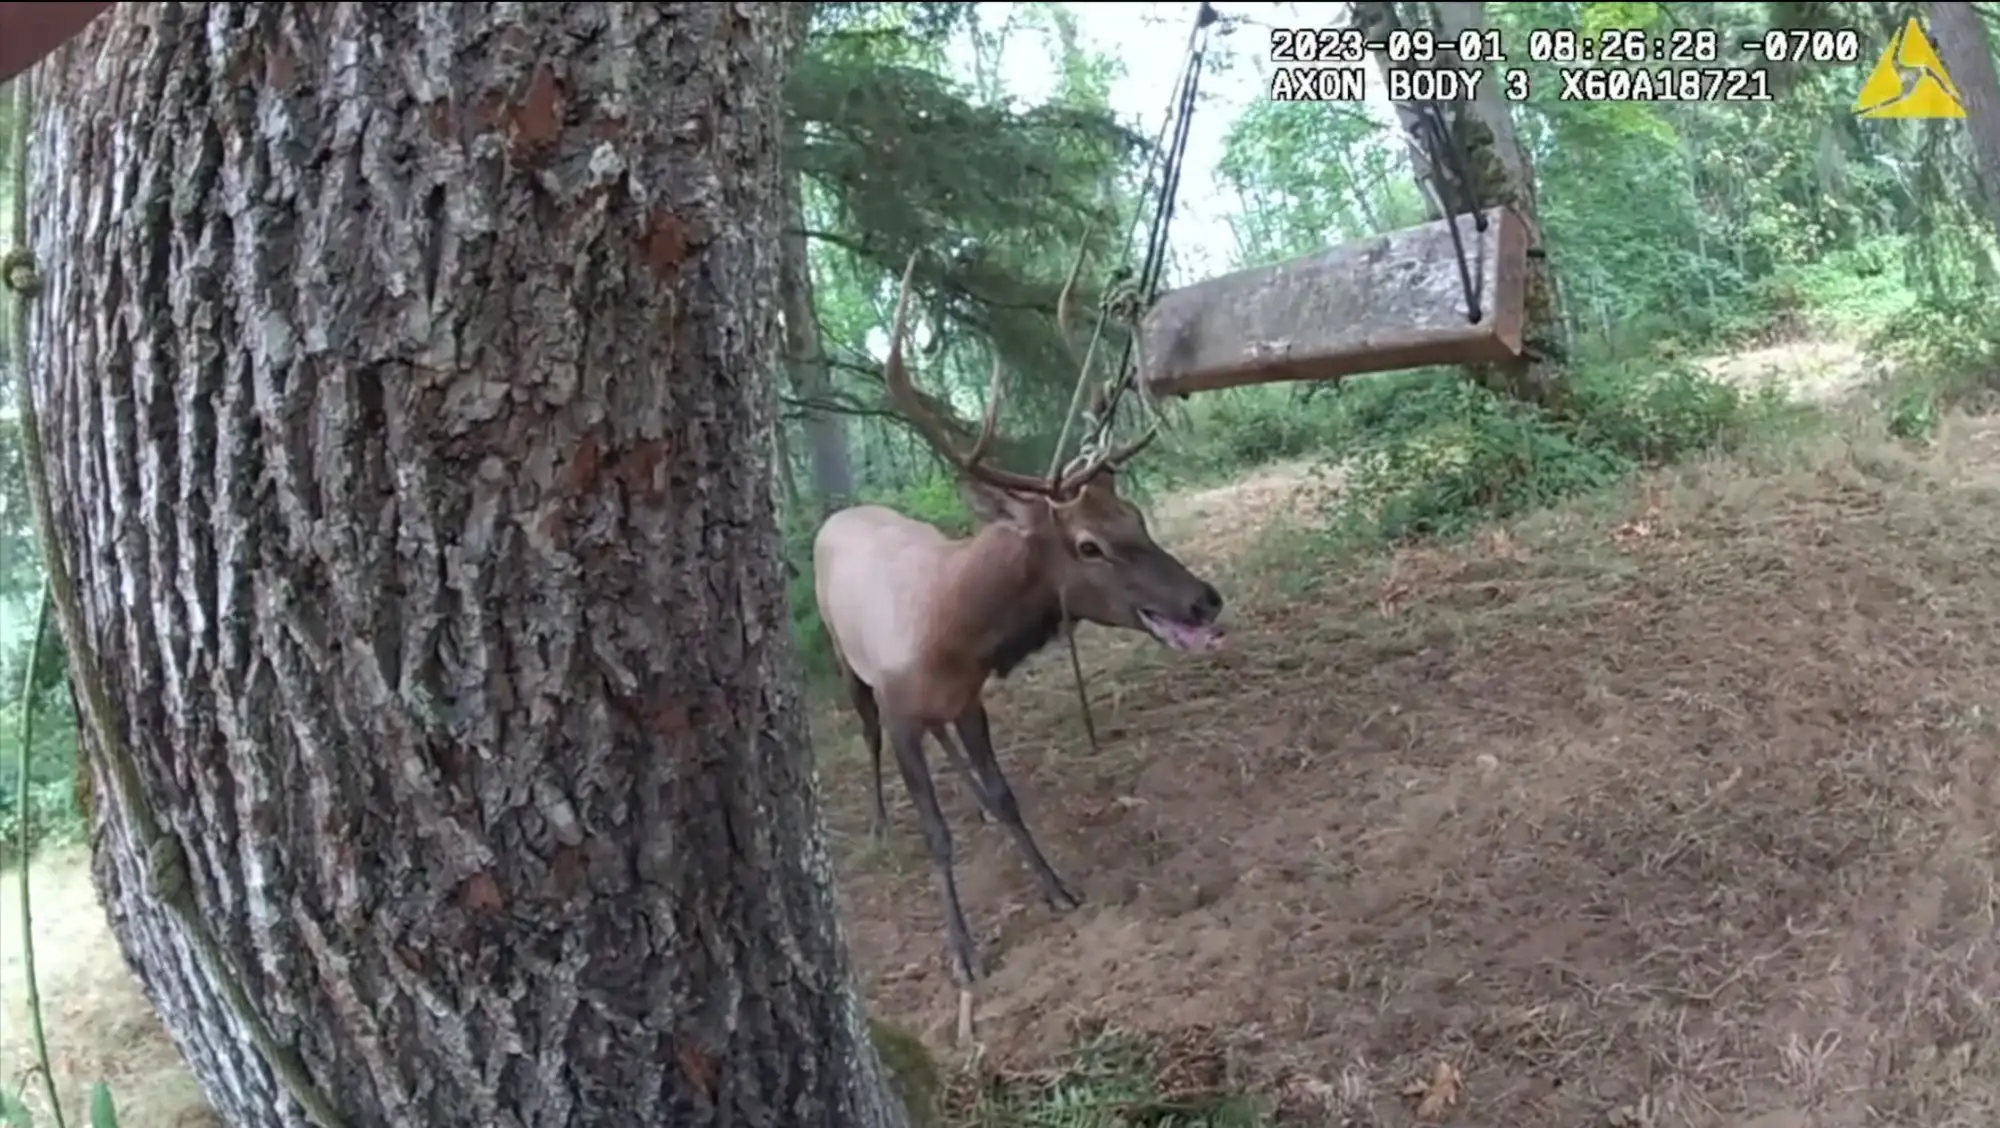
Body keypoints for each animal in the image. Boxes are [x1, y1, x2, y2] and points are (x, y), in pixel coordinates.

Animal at [808, 251, 1216, 984]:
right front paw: (963, 950)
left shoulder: (969, 701)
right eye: (1088, 545)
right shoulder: (900, 707)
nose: (1202, 599)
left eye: (1135, 514)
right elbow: (934, 832)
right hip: (842, 657)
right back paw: (881, 824)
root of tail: (837, 516)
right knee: (866, 733)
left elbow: (1006, 797)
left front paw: (1055, 886)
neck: (953, 636)